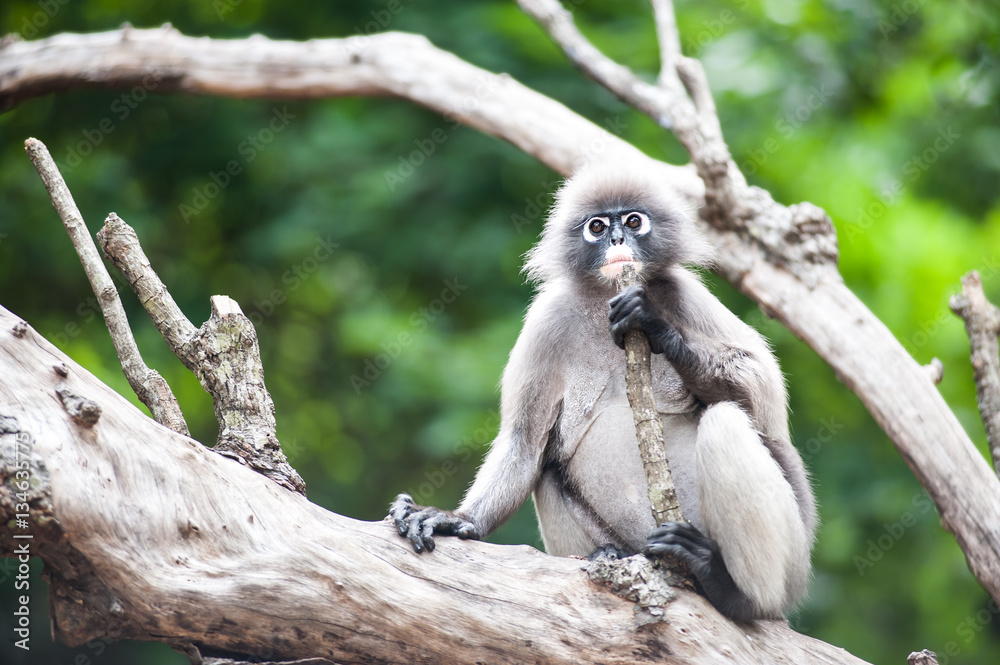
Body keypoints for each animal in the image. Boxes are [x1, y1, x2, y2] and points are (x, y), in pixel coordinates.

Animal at [390, 161, 817, 622]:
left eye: (633, 221)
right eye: (596, 226)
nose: (616, 240)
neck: (605, 301)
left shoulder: (683, 293)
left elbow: (763, 394)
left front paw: (655, 325)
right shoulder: (548, 319)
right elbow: (524, 445)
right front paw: (457, 519)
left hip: (794, 559)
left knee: (727, 421)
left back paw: (735, 591)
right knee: (548, 463)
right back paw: (611, 555)